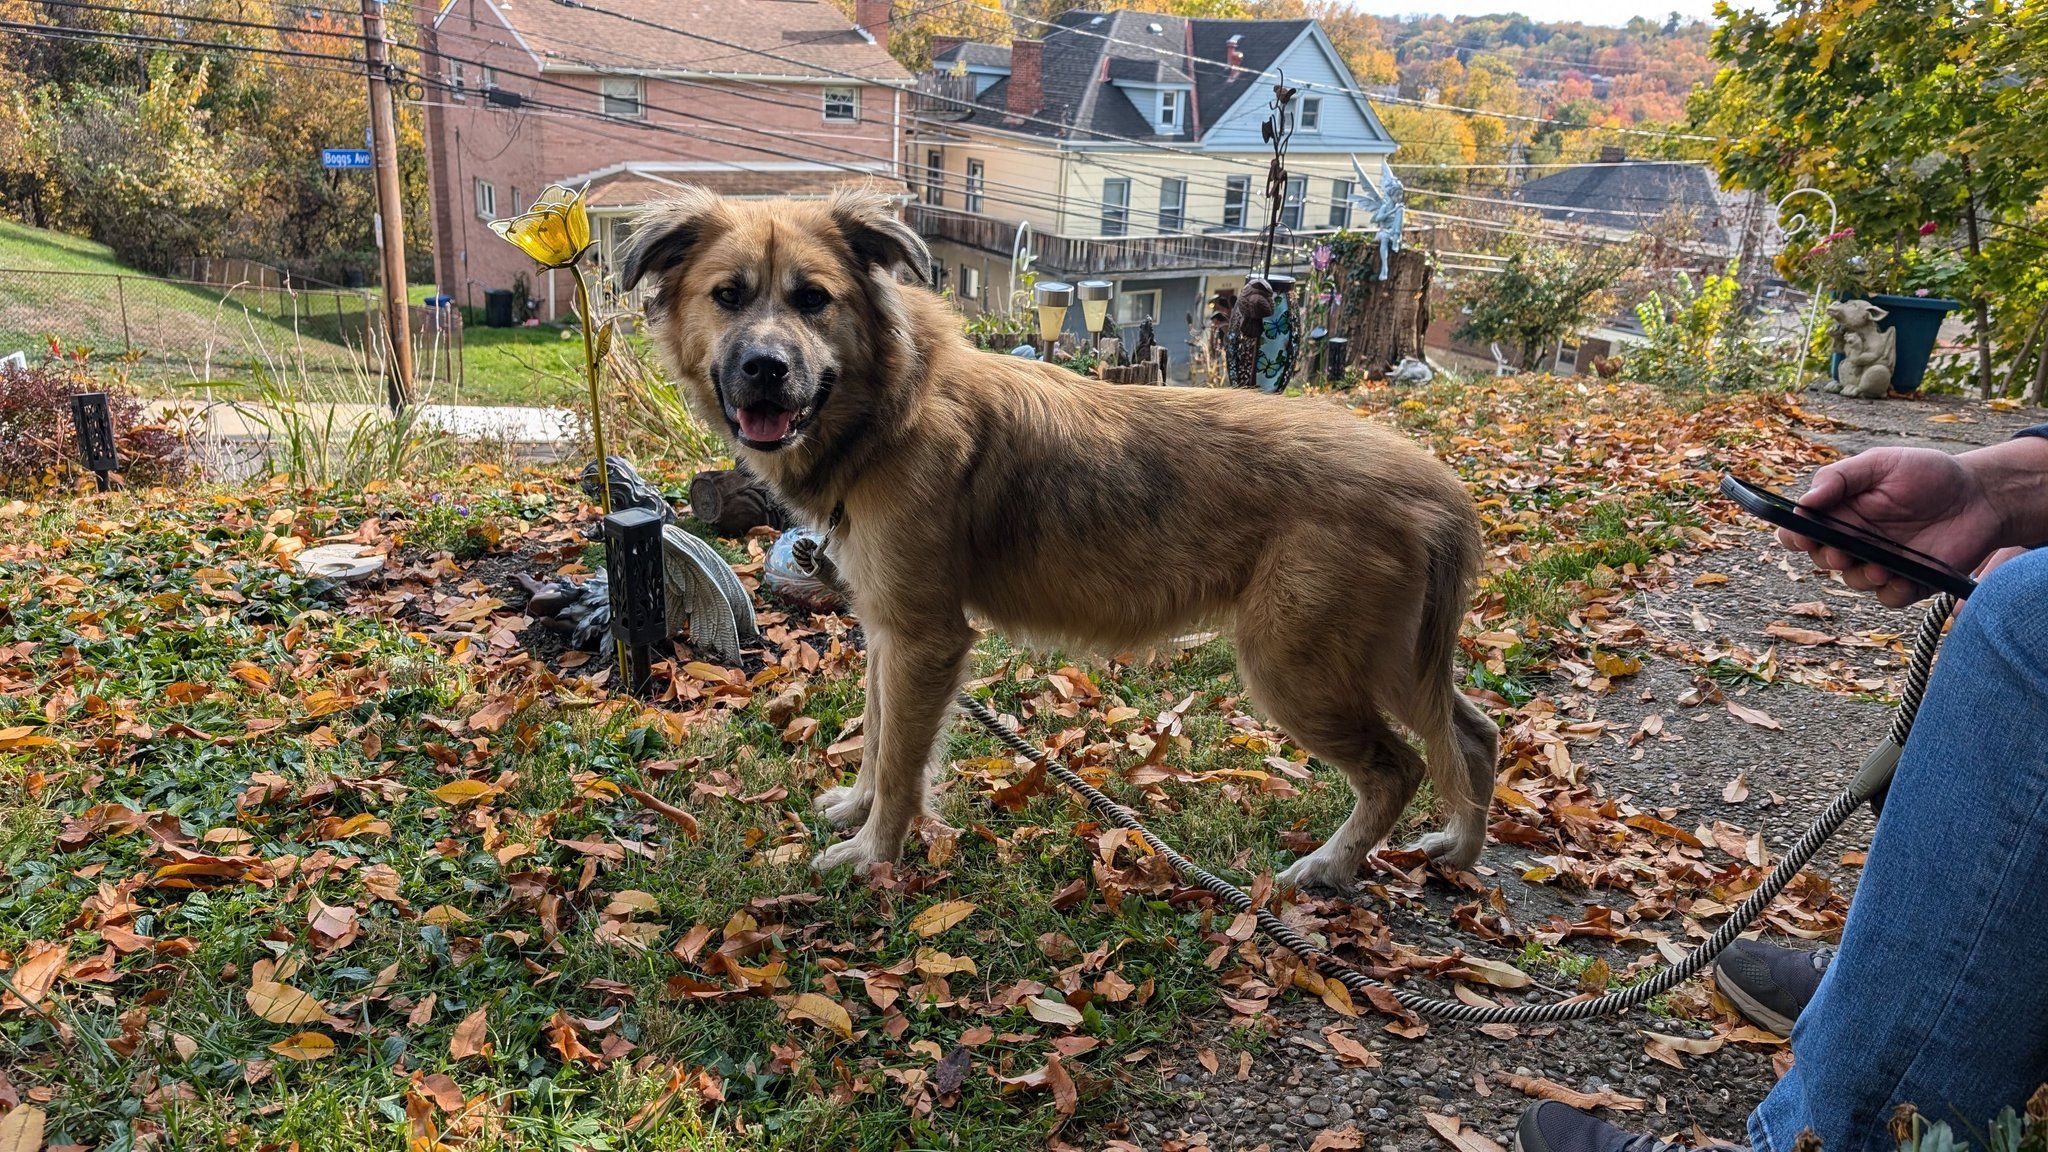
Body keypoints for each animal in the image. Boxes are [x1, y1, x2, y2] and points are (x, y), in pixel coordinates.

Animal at [614, 183, 1499, 881]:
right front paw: (857, 811)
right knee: (1475, 735)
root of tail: (1436, 487)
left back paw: (1330, 868)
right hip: (1388, 660)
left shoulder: (926, 639)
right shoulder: (885, 629)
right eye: (729, 296)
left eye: (812, 300)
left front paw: (876, 854)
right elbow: (876, 734)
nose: (765, 368)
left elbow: (901, 760)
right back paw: (1459, 850)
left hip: (1298, 668)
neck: (894, 407)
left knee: (1400, 767)